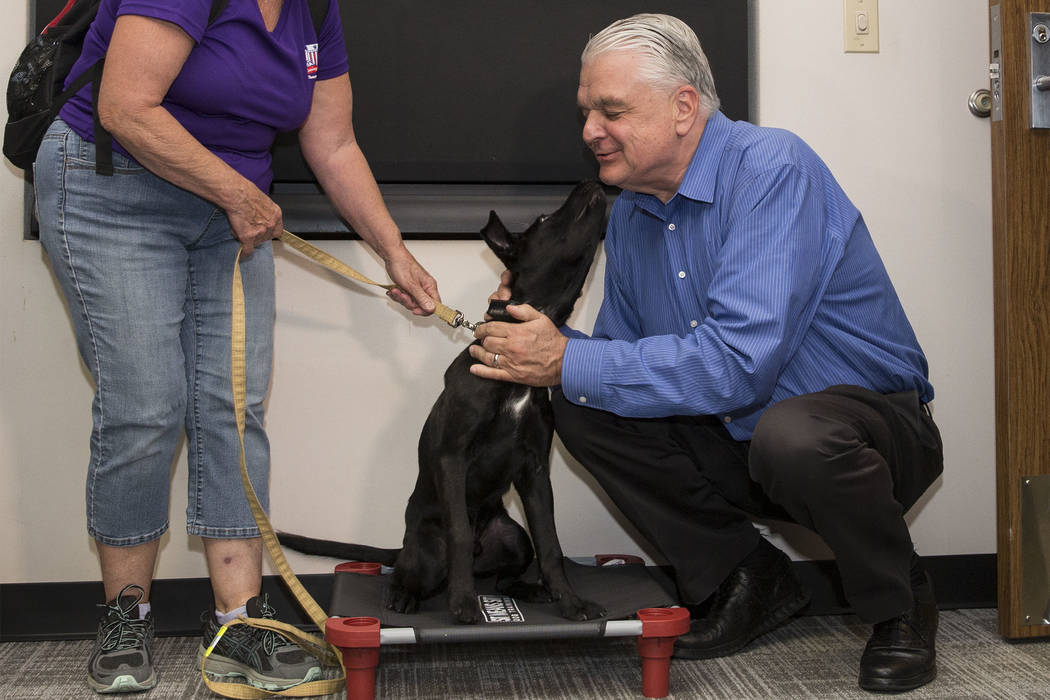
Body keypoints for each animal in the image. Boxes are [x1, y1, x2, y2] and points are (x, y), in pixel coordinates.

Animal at [279, 180, 609, 625]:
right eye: (543, 219)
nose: (592, 183)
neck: (511, 371)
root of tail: (403, 545)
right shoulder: (453, 457)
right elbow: (459, 533)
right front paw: (464, 603)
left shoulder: (536, 470)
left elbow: (551, 544)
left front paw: (570, 602)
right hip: (426, 554)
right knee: (411, 571)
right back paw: (404, 596)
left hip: (513, 537)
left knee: (505, 574)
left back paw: (529, 588)